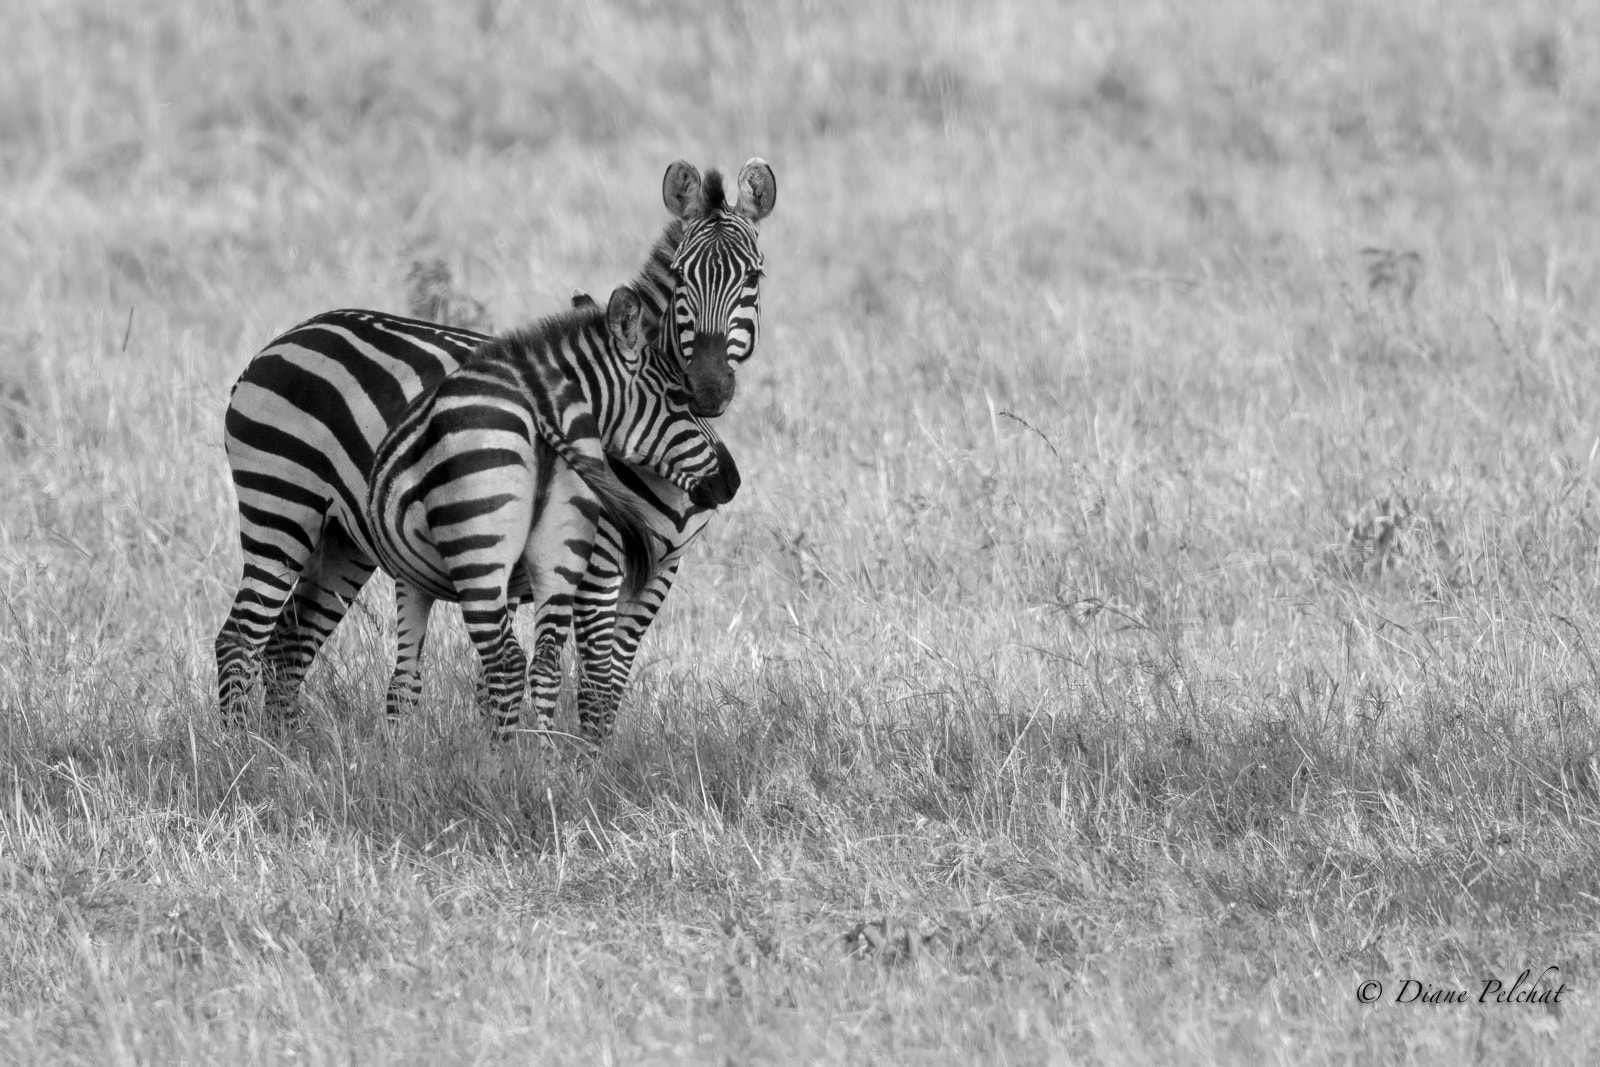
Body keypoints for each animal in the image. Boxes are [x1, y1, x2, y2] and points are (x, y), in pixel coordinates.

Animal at [368, 283, 736, 735]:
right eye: (677, 398)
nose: (732, 480)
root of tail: (540, 404)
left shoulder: (410, 579)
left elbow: (405, 679)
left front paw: (396, 746)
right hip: (561, 547)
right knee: (543, 662)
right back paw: (544, 753)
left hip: (479, 554)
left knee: (507, 661)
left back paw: (502, 752)